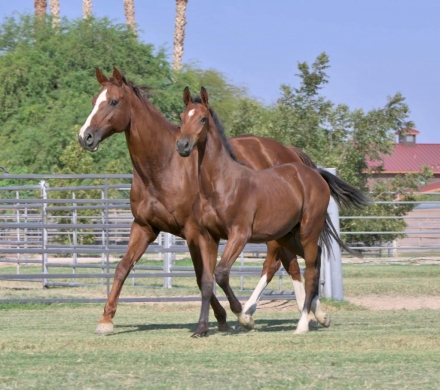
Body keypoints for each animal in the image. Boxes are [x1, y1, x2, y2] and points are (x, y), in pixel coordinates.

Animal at [78, 67, 326, 336]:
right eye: (93, 101)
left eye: (114, 101)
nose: (85, 137)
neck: (163, 165)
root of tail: (290, 152)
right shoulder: (144, 227)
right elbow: (123, 267)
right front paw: (106, 319)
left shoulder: (193, 231)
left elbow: (201, 275)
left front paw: (222, 317)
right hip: (282, 231)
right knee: (293, 264)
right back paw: (311, 314)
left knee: (283, 263)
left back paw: (288, 314)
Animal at [175, 87, 368, 334]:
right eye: (182, 117)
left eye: (202, 118)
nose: (183, 146)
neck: (221, 184)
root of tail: (315, 174)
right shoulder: (208, 236)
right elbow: (207, 281)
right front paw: (201, 329)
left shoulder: (239, 234)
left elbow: (221, 273)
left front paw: (245, 318)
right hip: (287, 236)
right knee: (311, 259)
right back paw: (321, 316)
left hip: (308, 230)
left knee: (309, 269)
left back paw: (303, 323)